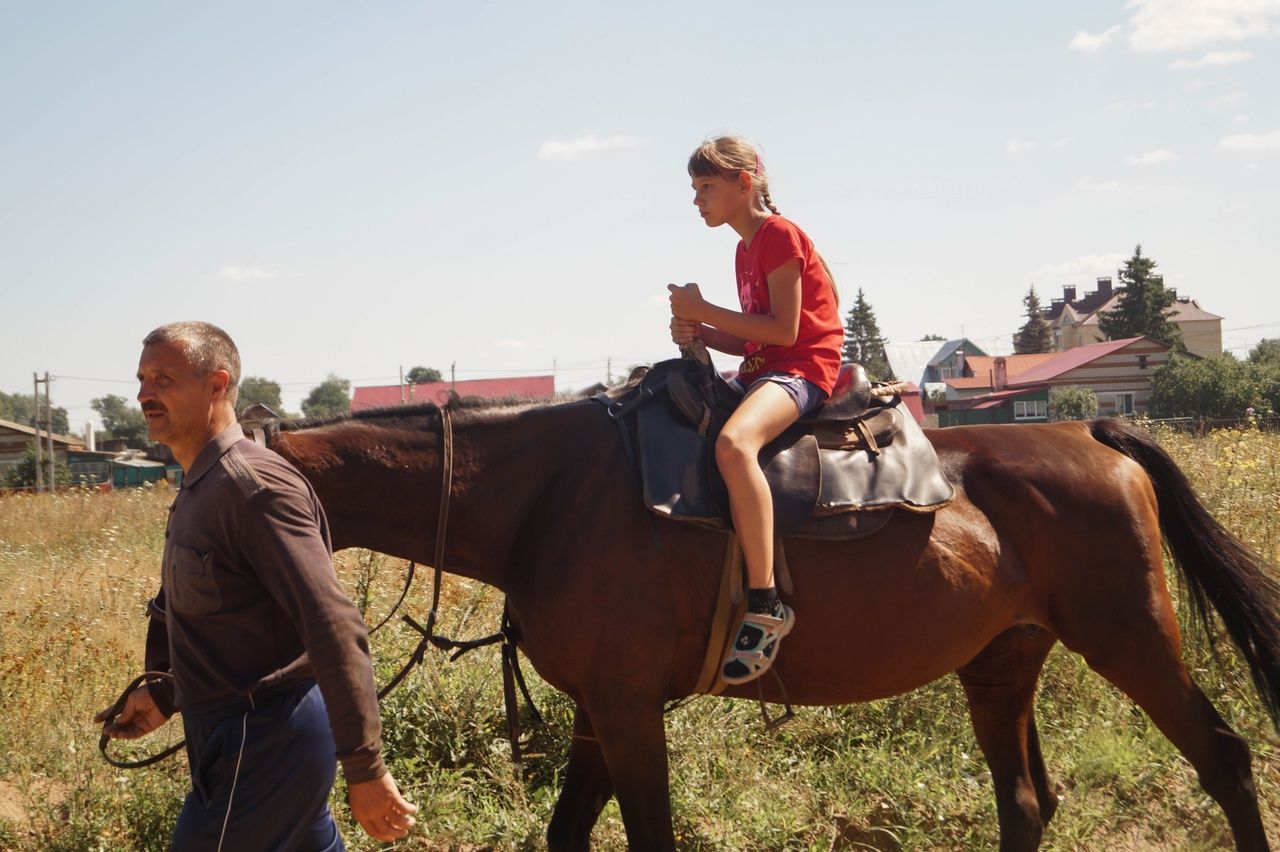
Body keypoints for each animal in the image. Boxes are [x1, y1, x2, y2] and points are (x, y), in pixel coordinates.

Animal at [259, 399, 1280, 849]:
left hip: (1130, 640)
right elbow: (567, 830)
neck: (550, 499)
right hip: (1001, 662)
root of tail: (1092, 433)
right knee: (1028, 802)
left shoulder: (628, 710)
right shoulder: (599, 709)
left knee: (1226, 761)